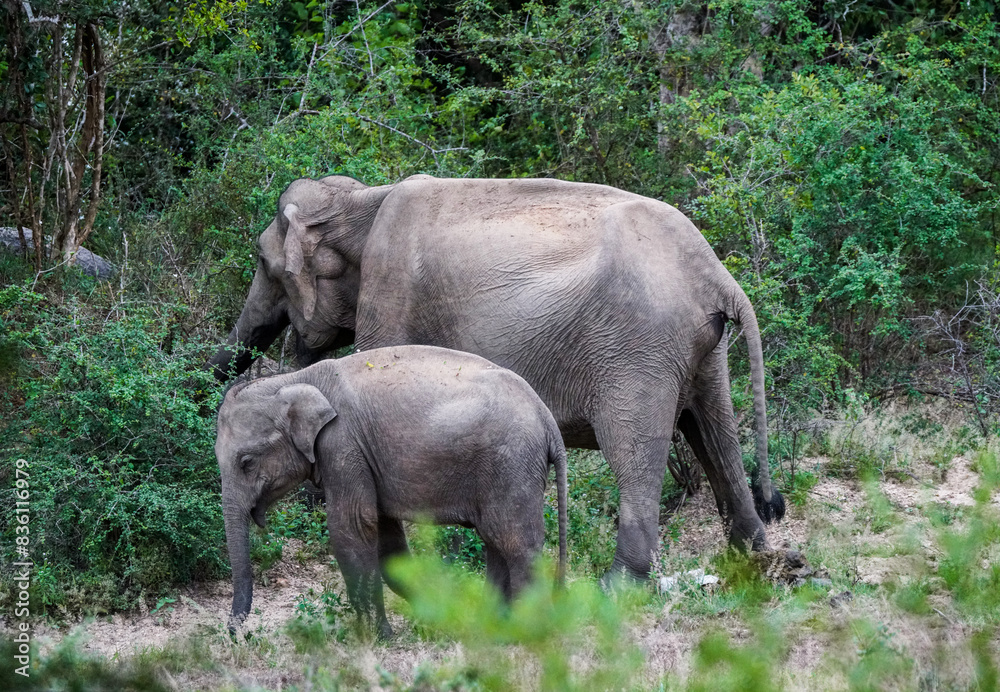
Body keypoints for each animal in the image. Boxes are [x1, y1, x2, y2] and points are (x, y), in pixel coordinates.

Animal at [207, 174, 785, 581]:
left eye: (262, 261)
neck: (359, 202)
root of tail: (717, 276)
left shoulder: (390, 296)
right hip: (699, 348)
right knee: (713, 432)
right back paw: (758, 558)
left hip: (636, 350)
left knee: (634, 451)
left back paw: (616, 586)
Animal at [216, 344, 569, 637]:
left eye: (247, 462)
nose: (237, 634)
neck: (294, 379)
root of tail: (548, 420)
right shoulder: (365, 457)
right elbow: (386, 538)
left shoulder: (342, 445)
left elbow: (352, 527)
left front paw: (376, 638)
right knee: (496, 540)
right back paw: (492, 626)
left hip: (512, 465)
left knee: (516, 544)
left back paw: (527, 633)